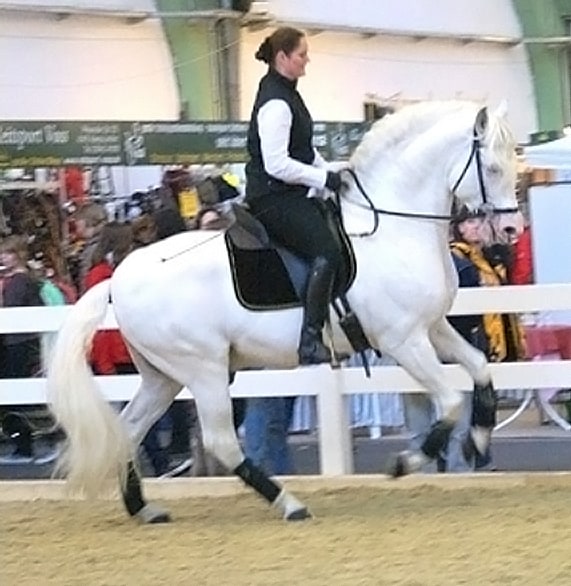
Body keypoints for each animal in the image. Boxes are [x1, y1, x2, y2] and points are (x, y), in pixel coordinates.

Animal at [48, 99, 524, 520]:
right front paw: (405, 462)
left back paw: (143, 508)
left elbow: (480, 369)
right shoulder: (403, 341)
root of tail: (118, 278)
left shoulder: (433, 327)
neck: (392, 227)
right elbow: (450, 401)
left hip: (162, 376)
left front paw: (477, 441)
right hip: (202, 371)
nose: (511, 229)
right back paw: (289, 504)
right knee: (221, 441)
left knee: (130, 428)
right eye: (493, 168)